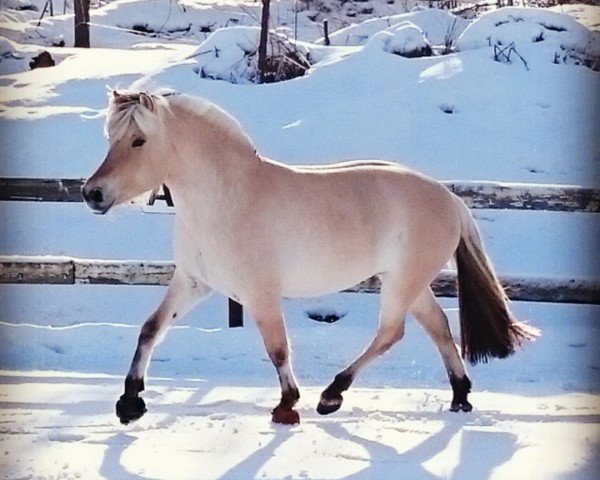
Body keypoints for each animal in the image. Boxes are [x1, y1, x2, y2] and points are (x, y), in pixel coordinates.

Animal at [82, 89, 536, 424]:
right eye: (111, 138)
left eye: (139, 140)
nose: (93, 194)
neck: (228, 197)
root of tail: (450, 198)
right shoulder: (194, 283)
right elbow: (150, 329)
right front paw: (129, 402)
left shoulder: (261, 294)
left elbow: (278, 349)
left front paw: (288, 405)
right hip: (407, 282)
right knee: (438, 327)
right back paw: (459, 397)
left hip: (403, 282)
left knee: (392, 332)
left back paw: (332, 395)